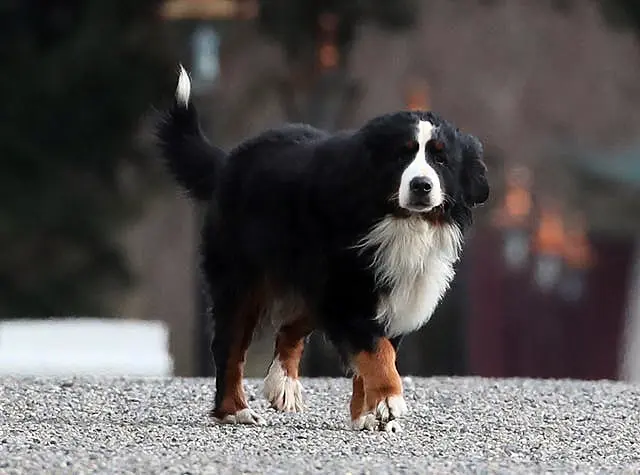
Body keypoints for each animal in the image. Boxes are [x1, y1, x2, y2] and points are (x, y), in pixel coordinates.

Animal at [156, 65, 490, 434]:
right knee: (229, 345)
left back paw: (283, 384)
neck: (396, 220)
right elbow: (378, 352)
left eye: (441, 159)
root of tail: (230, 161)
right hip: (244, 279)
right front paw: (389, 399)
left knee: (288, 330)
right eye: (401, 155)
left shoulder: (391, 295)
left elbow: (371, 355)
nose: (421, 185)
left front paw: (368, 413)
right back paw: (234, 410)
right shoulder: (350, 293)